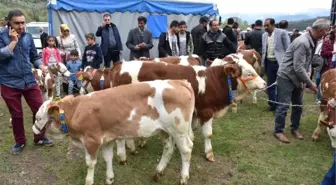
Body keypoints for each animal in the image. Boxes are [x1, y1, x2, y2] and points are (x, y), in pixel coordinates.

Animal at [32, 79, 196, 185]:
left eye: (39, 118)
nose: (33, 129)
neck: (77, 110)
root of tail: (178, 82)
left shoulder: (91, 141)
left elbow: (90, 164)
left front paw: (89, 181)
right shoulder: (107, 139)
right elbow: (108, 158)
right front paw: (109, 178)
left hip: (179, 131)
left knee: (186, 150)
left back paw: (183, 177)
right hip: (165, 130)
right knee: (168, 148)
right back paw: (158, 172)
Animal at [109, 53, 266, 162]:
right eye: (249, 73)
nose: (264, 83)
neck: (212, 81)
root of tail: (120, 65)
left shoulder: (194, 112)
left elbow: (191, 130)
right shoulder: (206, 111)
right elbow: (208, 134)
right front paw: (209, 154)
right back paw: (127, 152)